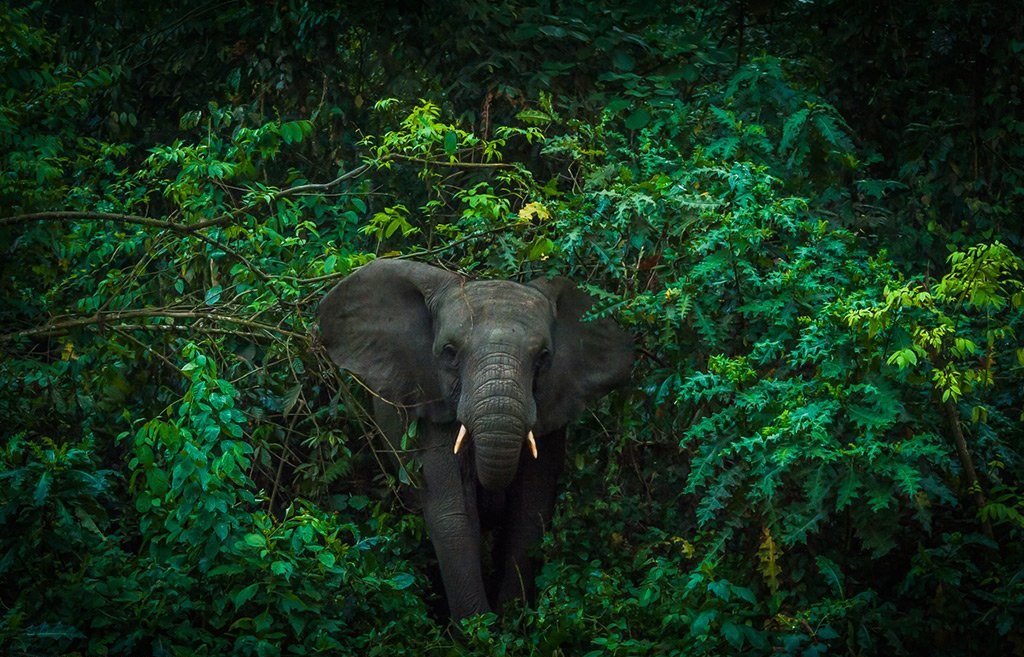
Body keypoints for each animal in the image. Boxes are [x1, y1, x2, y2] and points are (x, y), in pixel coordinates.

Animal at [317, 259, 632, 621]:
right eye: (449, 352)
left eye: (543, 357)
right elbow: (452, 515)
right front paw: (478, 626)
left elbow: (530, 513)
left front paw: (510, 620)